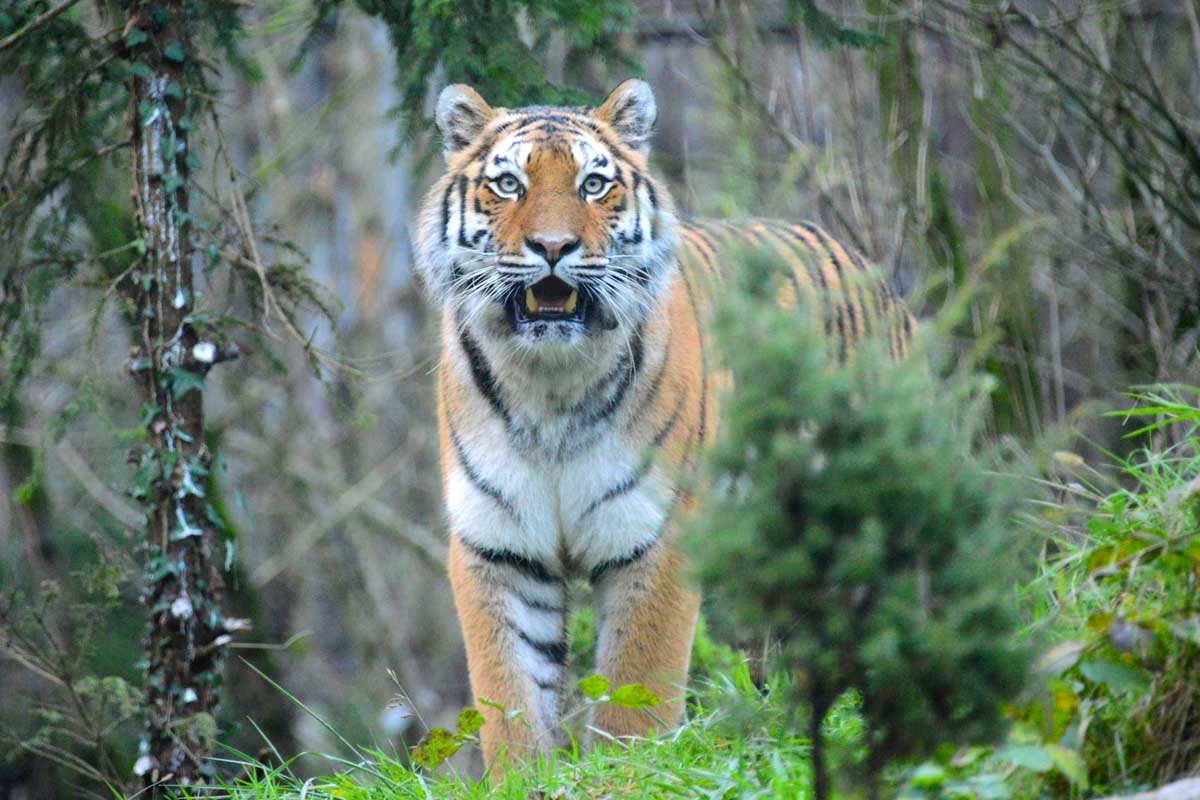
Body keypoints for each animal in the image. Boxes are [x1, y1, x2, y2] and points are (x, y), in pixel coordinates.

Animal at [414, 79, 915, 770]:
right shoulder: (501, 544)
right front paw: (521, 776)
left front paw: (628, 770)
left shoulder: (654, 532)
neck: (549, 385)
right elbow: (509, 694)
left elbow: (636, 688)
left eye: (593, 184)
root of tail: (869, 270)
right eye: (509, 183)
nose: (552, 247)